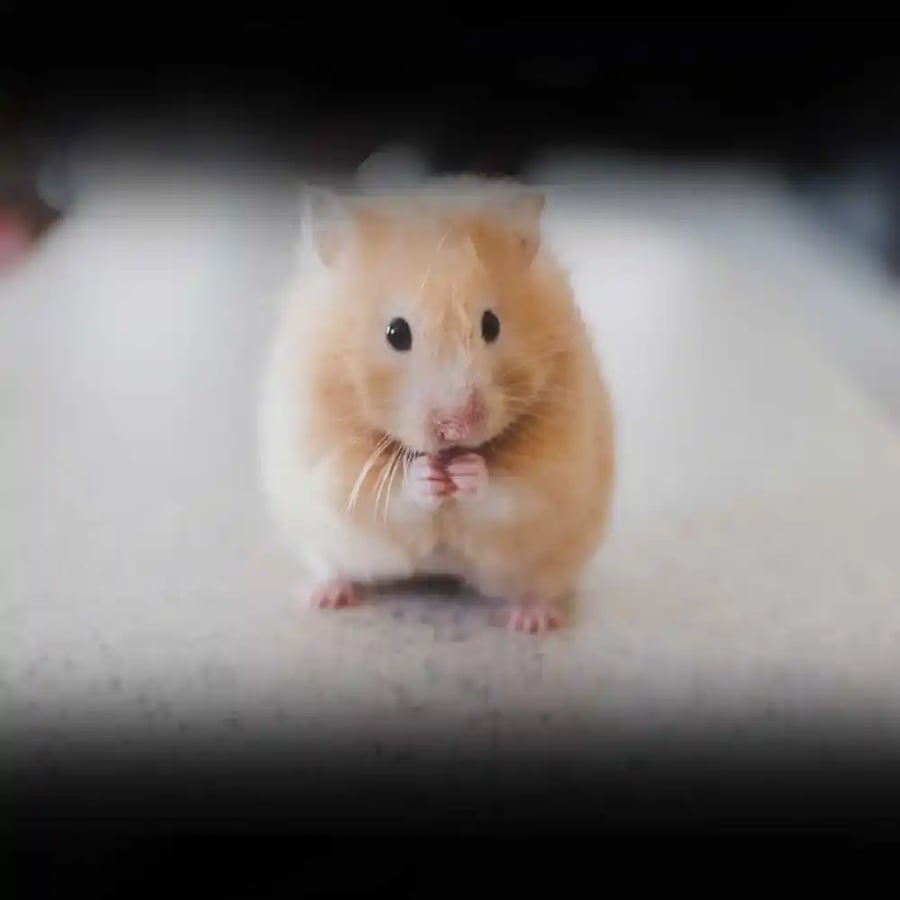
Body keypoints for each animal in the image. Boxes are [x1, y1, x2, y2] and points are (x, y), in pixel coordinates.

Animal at [258, 176, 615, 634]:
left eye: (491, 324)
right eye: (396, 332)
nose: (456, 427)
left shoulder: (556, 459)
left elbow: (510, 488)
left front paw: (466, 472)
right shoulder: (327, 455)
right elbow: (382, 491)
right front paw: (428, 476)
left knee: (535, 587)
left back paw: (531, 621)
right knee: (333, 567)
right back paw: (323, 596)